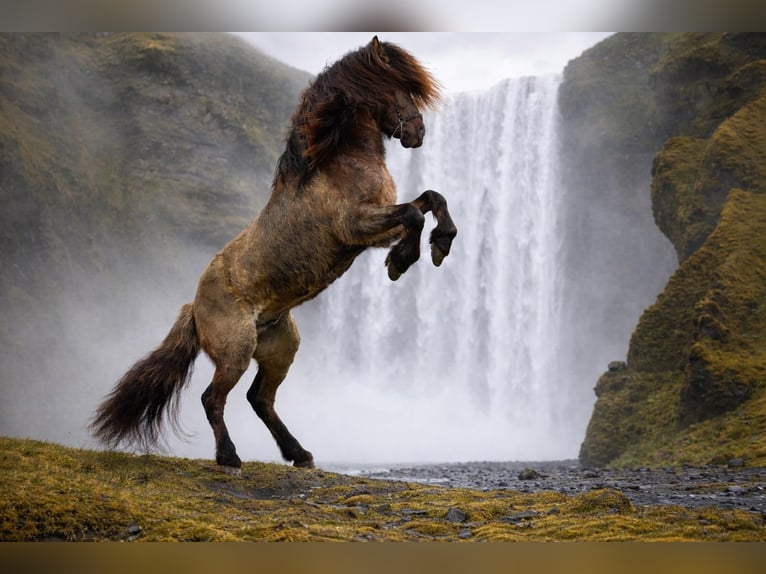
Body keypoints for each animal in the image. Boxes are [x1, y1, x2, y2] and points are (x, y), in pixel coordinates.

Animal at [90, 36, 457, 475]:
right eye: (397, 88)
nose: (418, 132)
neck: (334, 162)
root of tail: (194, 308)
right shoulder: (356, 225)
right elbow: (415, 213)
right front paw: (401, 262)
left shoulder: (378, 227)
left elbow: (431, 200)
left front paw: (439, 245)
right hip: (236, 350)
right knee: (214, 399)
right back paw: (230, 457)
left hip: (281, 347)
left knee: (259, 398)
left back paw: (300, 454)